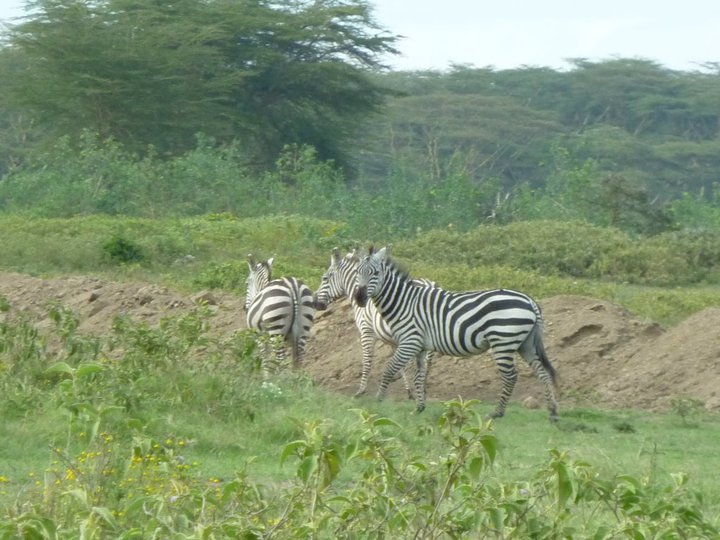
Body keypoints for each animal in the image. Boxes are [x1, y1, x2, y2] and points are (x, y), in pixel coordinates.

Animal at [316, 247, 438, 398]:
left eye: (325, 278)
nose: (316, 303)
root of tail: (429, 283)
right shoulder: (394, 340)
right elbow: (400, 365)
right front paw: (408, 391)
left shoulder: (366, 332)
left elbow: (367, 360)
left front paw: (361, 390)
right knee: (428, 360)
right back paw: (423, 386)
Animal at [354, 246, 564, 422]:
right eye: (358, 273)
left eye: (375, 273)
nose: (359, 297)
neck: (404, 302)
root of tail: (529, 300)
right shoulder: (420, 346)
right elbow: (418, 377)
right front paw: (419, 408)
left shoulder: (409, 342)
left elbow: (389, 370)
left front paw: (378, 402)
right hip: (525, 343)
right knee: (542, 372)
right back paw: (552, 412)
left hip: (503, 341)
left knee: (511, 376)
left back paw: (496, 413)